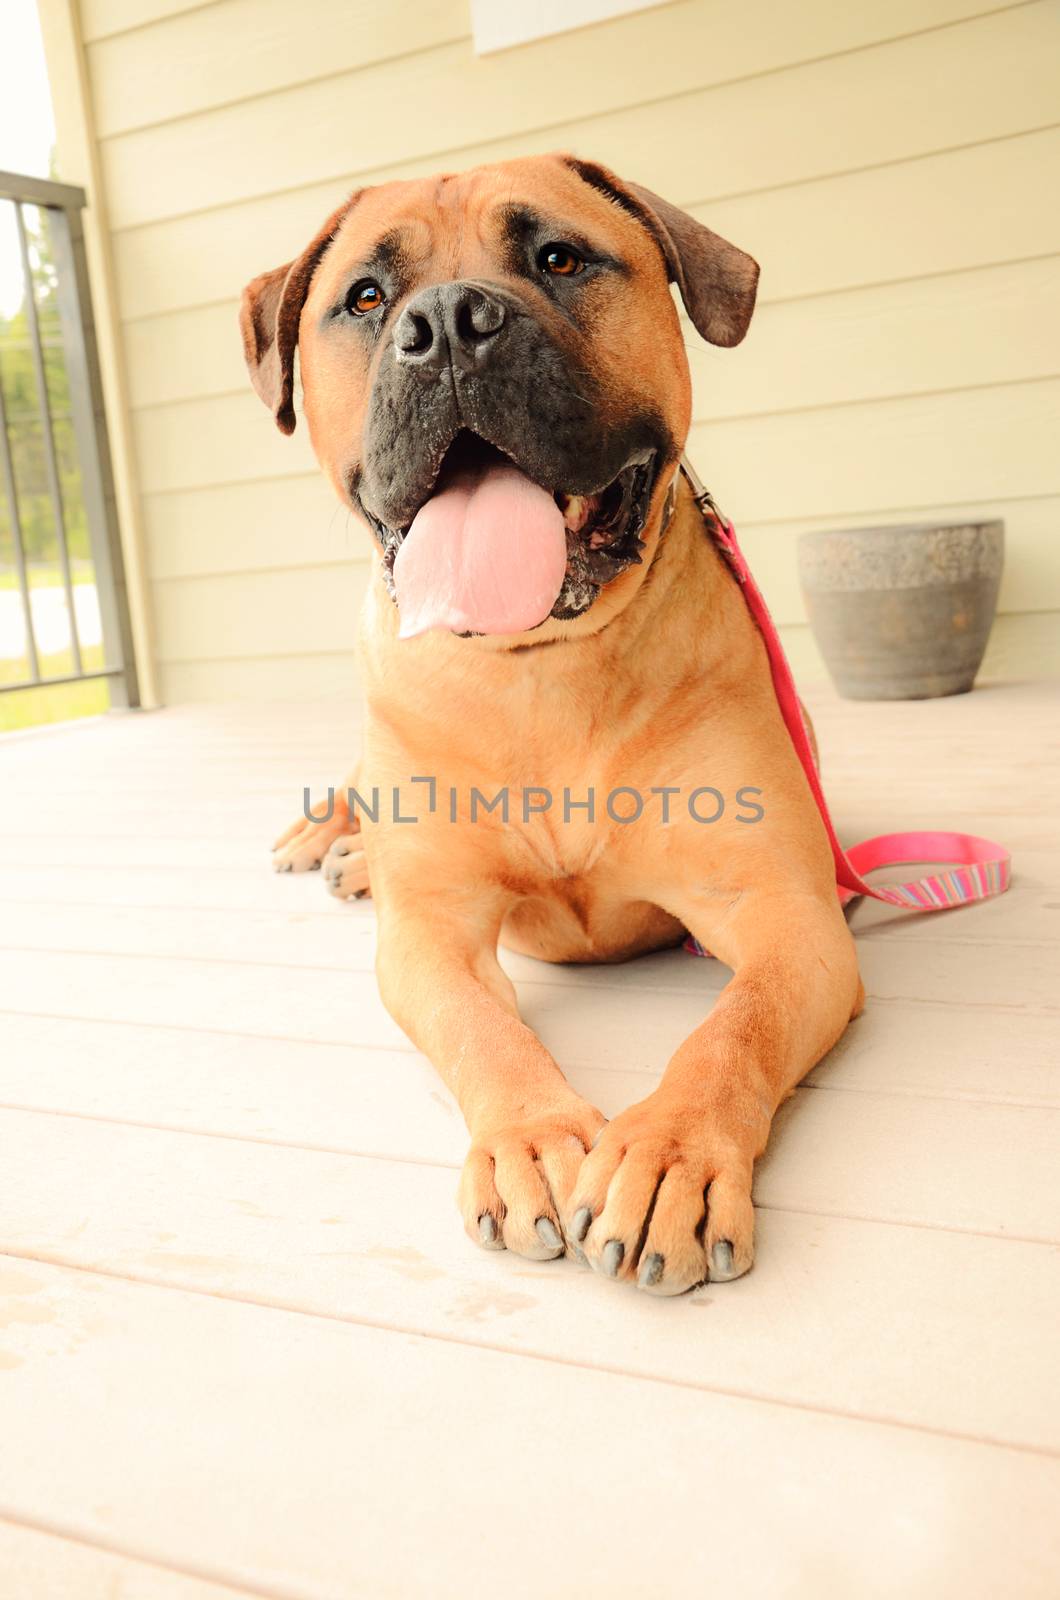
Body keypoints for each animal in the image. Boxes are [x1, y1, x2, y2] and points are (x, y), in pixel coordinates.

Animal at [244, 156, 871, 1292]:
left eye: (559, 258)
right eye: (367, 297)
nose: (447, 322)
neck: (542, 669)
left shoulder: (788, 918)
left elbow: (733, 1029)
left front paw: (669, 1153)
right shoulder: (434, 934)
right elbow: (480, 1027)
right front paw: (532, 1138)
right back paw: (336, 844)